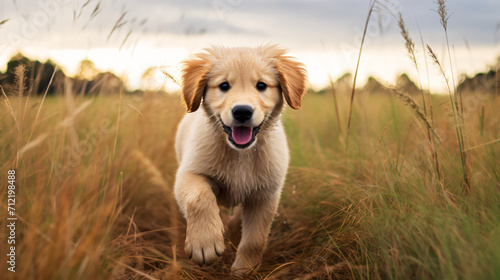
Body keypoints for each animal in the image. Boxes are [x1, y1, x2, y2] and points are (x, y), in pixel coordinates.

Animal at [176, 44, 308, 274]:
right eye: (224, 85)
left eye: (261, 85)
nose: (242, 111)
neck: (241, 154)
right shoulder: (189, 173)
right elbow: (199, 198)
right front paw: (204, 243)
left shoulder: (265, 195)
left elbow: (255, 240)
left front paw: (244, 270)